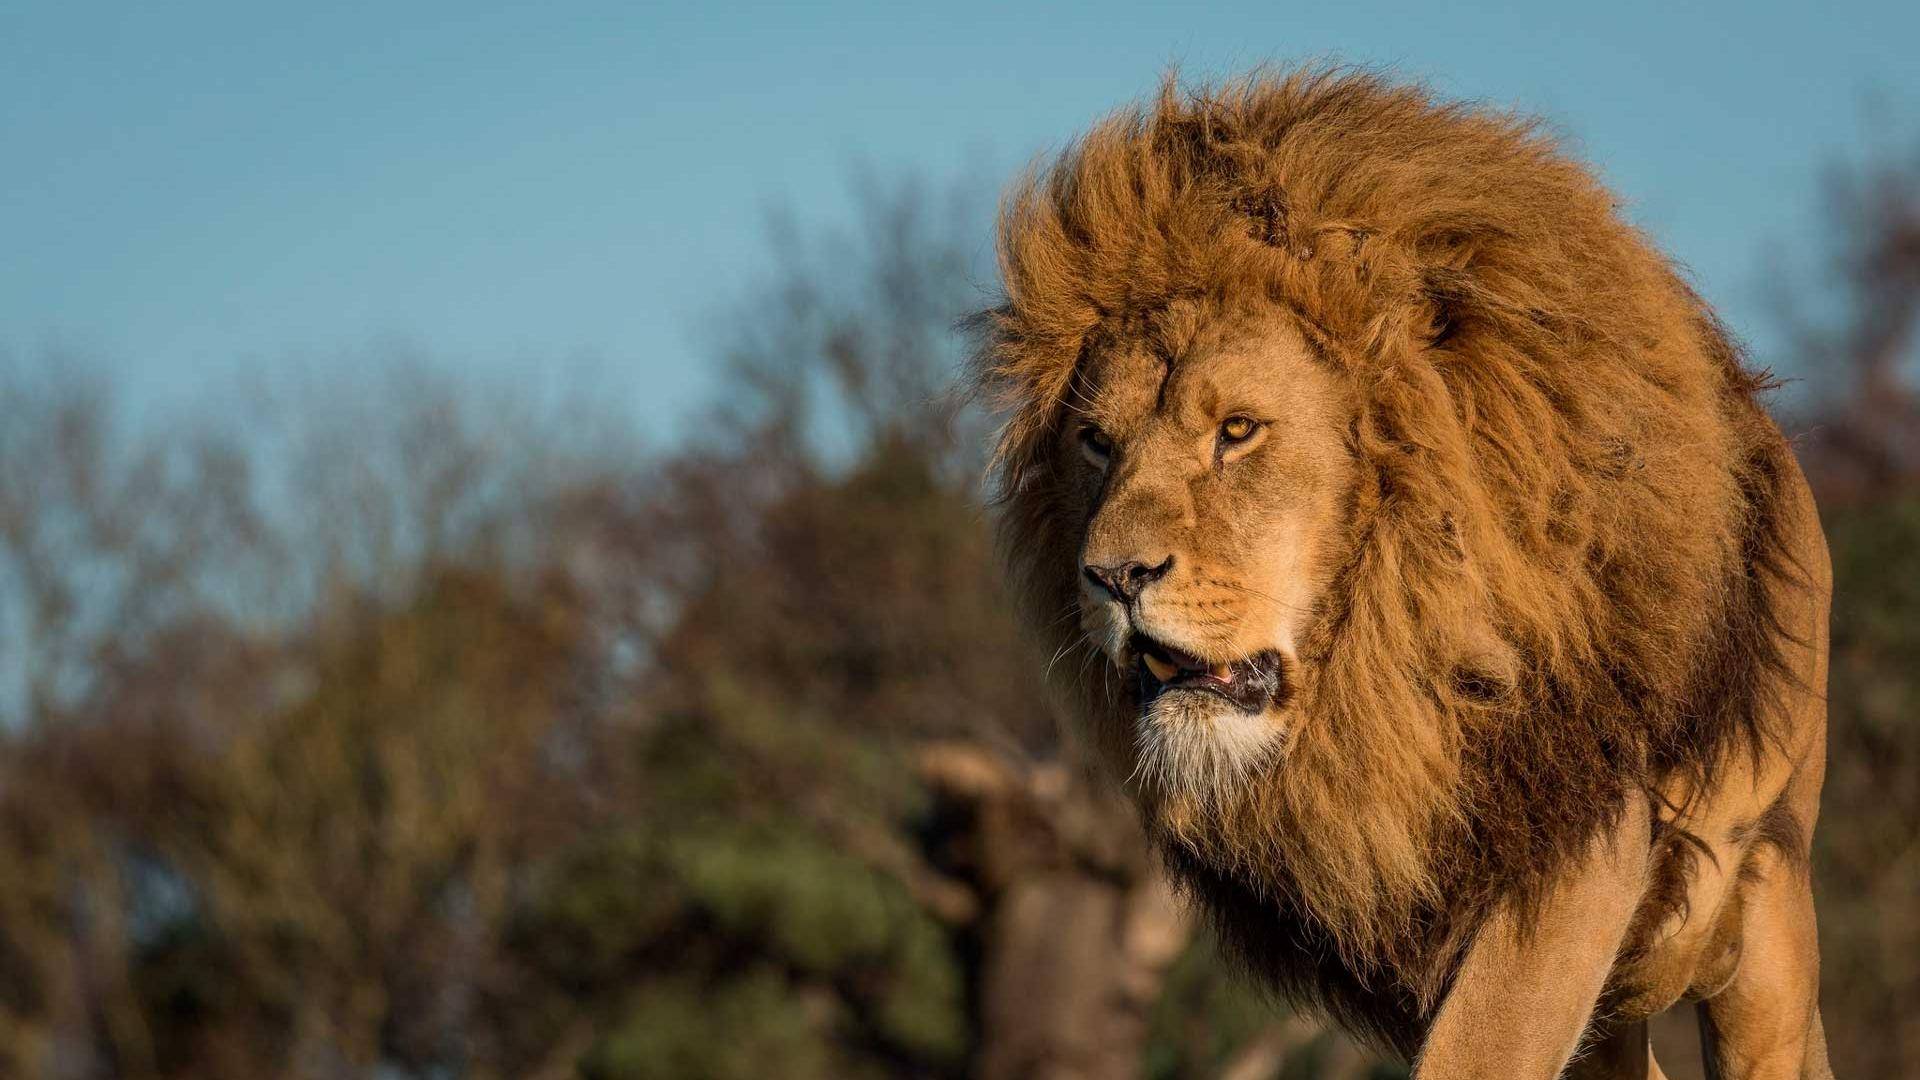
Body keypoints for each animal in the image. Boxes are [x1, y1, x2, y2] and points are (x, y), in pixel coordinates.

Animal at [983, 69, 1835, 1076]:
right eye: (1096, 444)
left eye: (1238, 430)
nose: (1111, 577)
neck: (1388, 675)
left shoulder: (1573, 845)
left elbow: (1483, 1048)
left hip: (1764, 909)